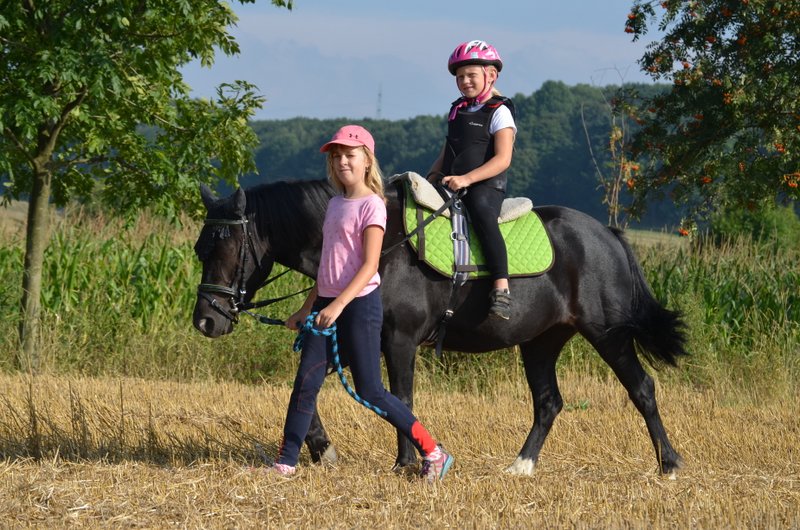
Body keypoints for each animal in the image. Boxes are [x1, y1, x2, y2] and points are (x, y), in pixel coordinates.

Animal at [192, 177, 688, 476]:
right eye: (199, 248)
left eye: (227, 247)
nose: (206, 320)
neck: (378, 246)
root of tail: (608, 234)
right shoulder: (354, 339)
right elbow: (305, 386)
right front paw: (322, 448)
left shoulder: (398, 341)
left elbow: (399, 397)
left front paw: (406, 463)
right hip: (540, 341)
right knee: (549, 402)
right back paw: (521, 467)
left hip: (608, 335)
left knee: (642, 388)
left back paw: (669, 463)